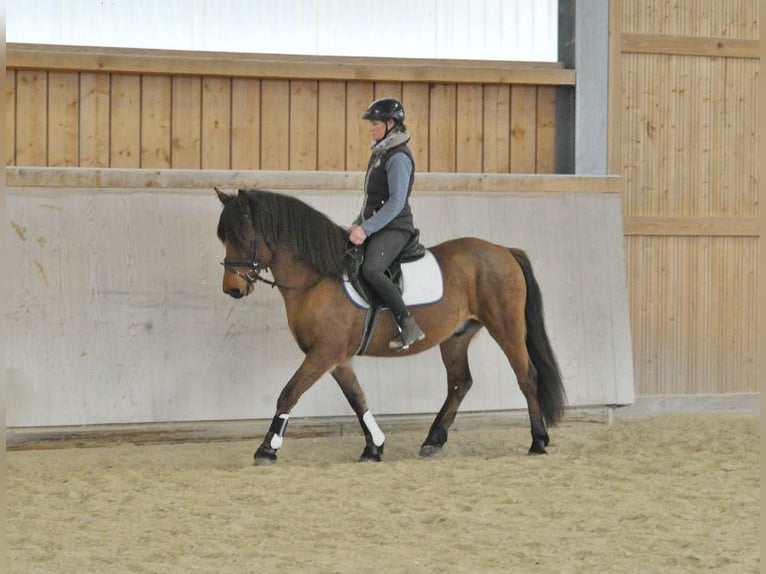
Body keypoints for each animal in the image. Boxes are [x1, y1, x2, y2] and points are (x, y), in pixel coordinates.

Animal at [213, 190, 568, 468]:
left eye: (242, 237)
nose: (232, 289)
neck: (319, 277)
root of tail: (504, 250)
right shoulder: (337, 358)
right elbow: (357, 398)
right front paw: (374, 446)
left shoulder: (324, 352)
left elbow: (289, 393)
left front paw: (266, 449)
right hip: (456, 337)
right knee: (460, 383)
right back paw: (433, 441)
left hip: (506, 327)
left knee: (526, 376)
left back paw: (538, 440)